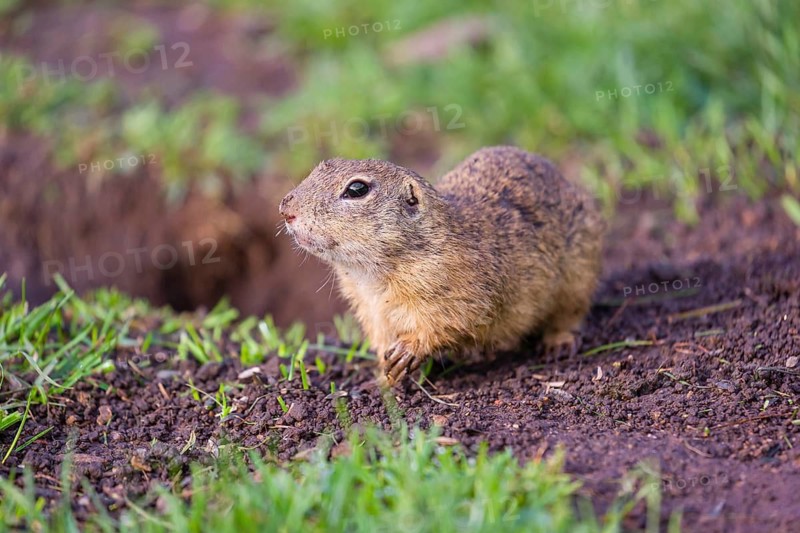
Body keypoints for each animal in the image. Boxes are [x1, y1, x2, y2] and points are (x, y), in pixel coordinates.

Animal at [279, 146, 604, 385]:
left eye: (357, 189)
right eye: (322, 166)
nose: (285, 208)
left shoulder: (457, 288)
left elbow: (451, 320)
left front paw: (406, 353)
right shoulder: (370, 310)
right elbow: (381, 341)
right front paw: (386, 377)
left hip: (578, 275)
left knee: (569, 315)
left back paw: (558, 343)